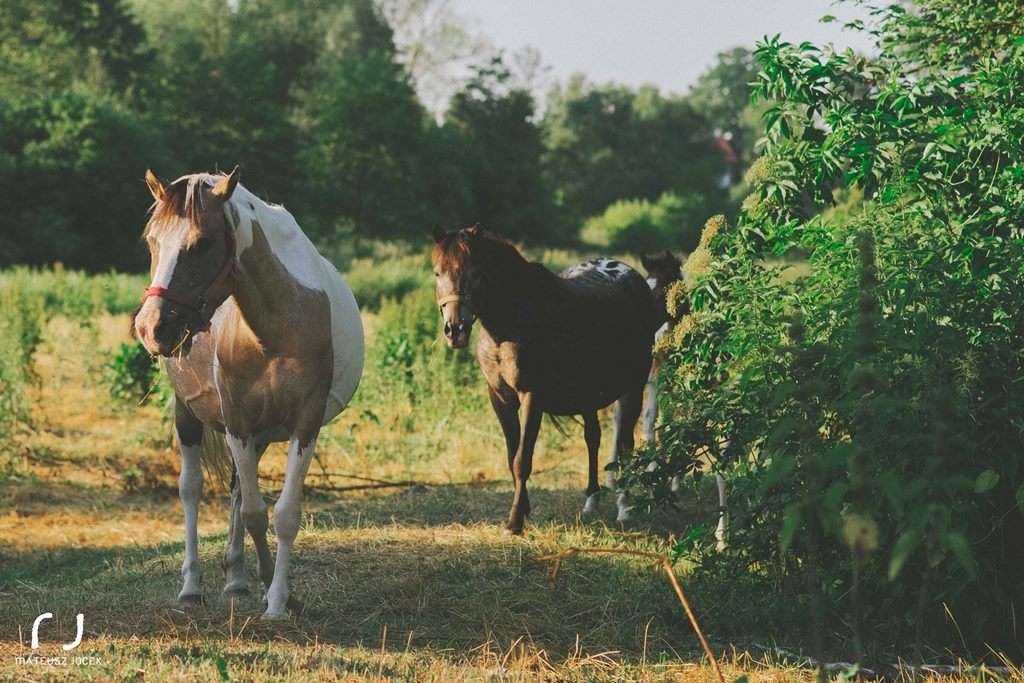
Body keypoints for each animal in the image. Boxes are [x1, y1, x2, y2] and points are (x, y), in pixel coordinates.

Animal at [134, 166, 362, 618]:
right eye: (151, 239)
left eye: (202, 243)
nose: (152, 328)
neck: (275, 324)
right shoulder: (237, 419)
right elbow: (256, 512)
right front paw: (274, 588)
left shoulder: (304, 422)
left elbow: (283, 513)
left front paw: (279, 597)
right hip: (189, 415)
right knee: (192, 489)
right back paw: (193, 586)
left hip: (259, 434)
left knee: (238, 490)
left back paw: (237, 578)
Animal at [430, 227, 655, 532]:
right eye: (437, 273)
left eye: (476, 273)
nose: (455, 330)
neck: (508, 323)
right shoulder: (500, 399)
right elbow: (511, 456)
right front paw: (522, 512)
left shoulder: (532, 397)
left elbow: (522, 460)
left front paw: (515, 521)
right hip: (587, 394)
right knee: (593, 438)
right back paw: (591, 501)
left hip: (633, 387)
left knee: (624, 446)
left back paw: (625, 508)